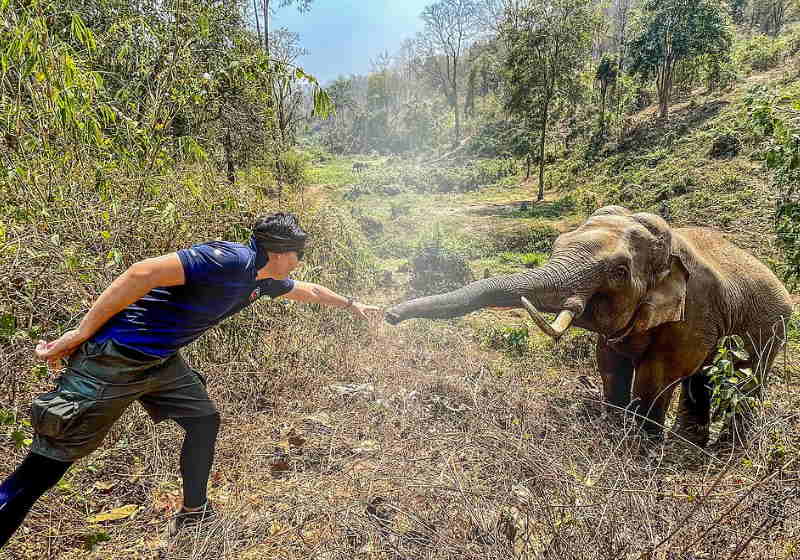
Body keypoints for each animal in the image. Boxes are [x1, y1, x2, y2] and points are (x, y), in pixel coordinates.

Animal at [385, 206, 793, 446]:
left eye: (619, 271)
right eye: (557, 244)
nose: (389, 315)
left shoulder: (695, 309)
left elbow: (659, 373)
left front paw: (641, 448)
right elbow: (610, 363)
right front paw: (614, 430)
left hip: (772, 325)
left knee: (748, 377)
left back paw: (725, 449)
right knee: (704, 377)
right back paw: (691, 443)